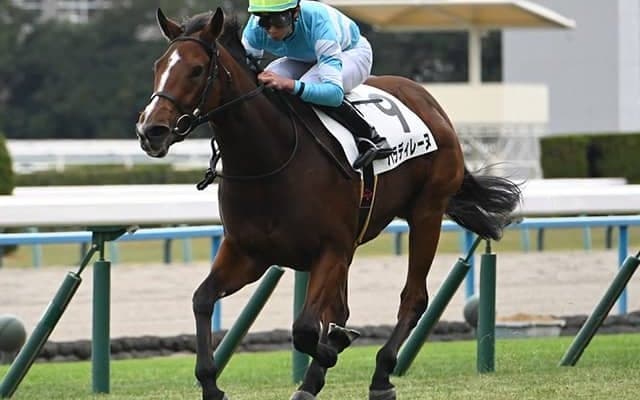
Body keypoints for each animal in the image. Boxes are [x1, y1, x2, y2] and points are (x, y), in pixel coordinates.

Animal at [136, 8, 521, 400]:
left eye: (197, 69)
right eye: (158, 66)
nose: (151, 131)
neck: (269, 161)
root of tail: (429, 101)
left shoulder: (331, 250)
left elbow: (305, 328)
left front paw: (333, 349)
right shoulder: (249, 253)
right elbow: (202, 299)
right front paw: (212, 384)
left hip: (427, 211)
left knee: (413, 297)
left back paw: (381, 375)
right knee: (343, 308)